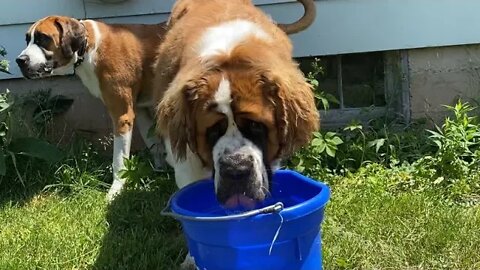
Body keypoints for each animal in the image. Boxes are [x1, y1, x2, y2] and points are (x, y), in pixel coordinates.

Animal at [15, 15, 167, 199]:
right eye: (27, 39)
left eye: (43, 38)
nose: (20, 60)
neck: (87, 49)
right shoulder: (140, 111)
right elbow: (154, 144)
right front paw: (160, 172)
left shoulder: (122, 116)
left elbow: (119, 160)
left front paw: (115, 190)